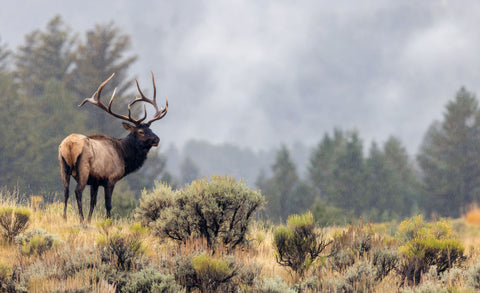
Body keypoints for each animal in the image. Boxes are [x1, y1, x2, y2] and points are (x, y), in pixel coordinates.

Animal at [58, 72, 168, 221]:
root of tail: (69, 144)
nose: (157, 139)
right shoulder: (110, 179)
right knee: (77, 191)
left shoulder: (95, 181)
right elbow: (108, 204)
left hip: (63, 167)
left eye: (150, 129)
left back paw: (64, 217)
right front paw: (107, 222)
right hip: (83, 168)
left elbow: (93, 203)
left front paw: (90, 220)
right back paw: (80, 219)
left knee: (66, 191)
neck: (123, 156)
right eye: (140, 131)